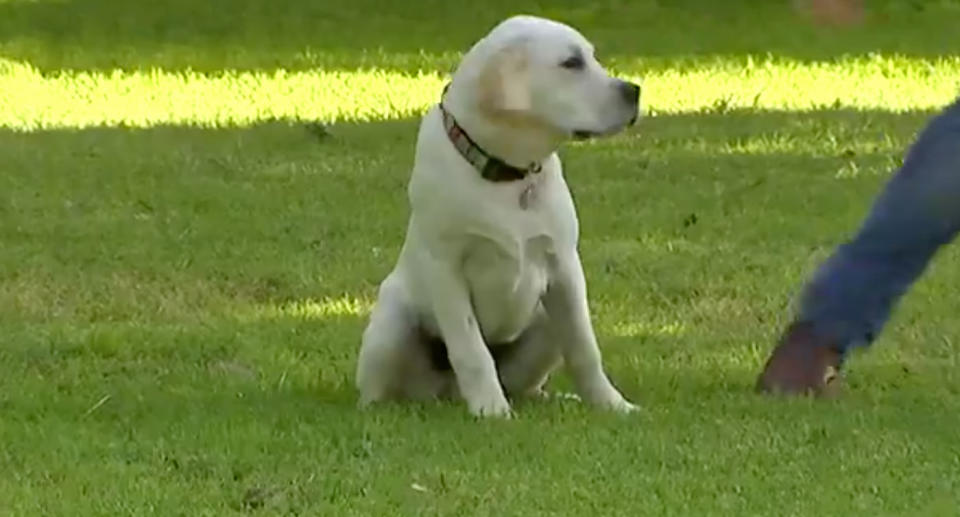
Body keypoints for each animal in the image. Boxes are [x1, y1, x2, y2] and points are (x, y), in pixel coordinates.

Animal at [356, 16, 640, 418]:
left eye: (592, 57)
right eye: (571, 63)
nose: (635, 91)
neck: (508, 174)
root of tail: (449, 393)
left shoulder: (565, 266)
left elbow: (585, 348)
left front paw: (612, 404)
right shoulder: (446, 268)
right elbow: (472, 349)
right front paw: (491, 409)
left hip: (545, 321)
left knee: (530, 381)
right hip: (392, 320)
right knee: (379, 388)